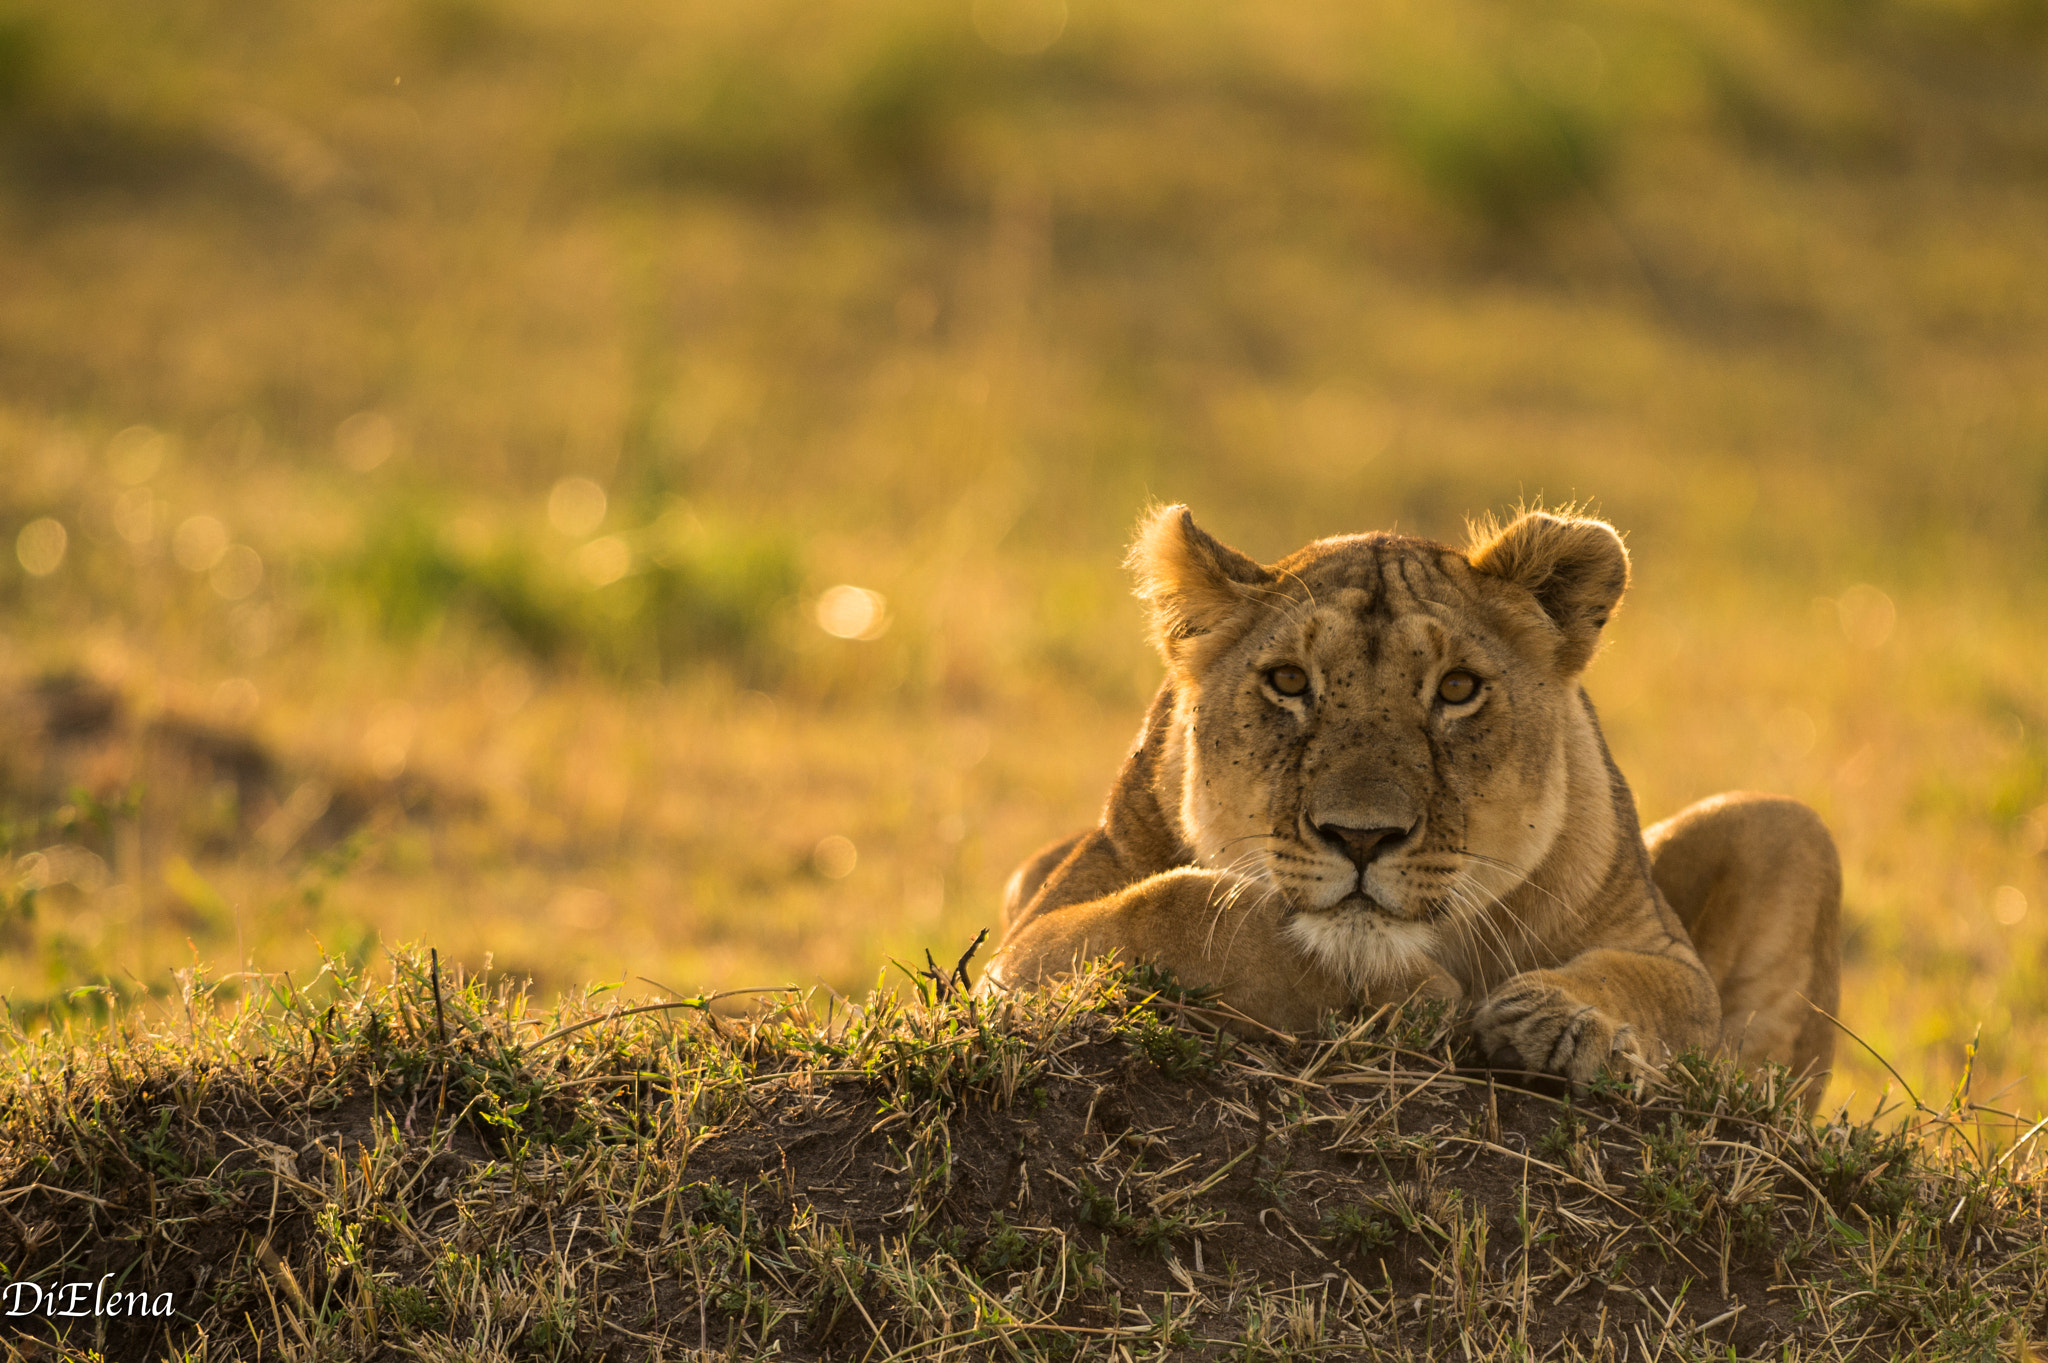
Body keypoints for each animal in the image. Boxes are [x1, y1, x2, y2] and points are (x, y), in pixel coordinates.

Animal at [983, 505, 1840, 1102]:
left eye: (1457, 688)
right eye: (1288, 681)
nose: (1361, 837)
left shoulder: (1655, 942)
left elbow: (1660, 987)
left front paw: (1565, 1021)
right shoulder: (1020, 952)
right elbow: (1175, 909)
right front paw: (1402, 989)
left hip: (1782, 822)